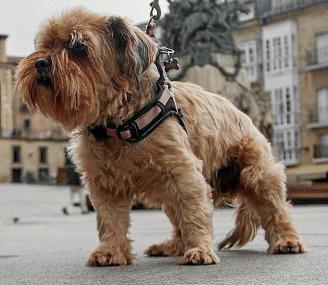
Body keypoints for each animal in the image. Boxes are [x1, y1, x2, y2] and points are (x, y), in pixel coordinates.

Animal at [15, 8, 304, 266]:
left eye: (77, 47)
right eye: (45, 45)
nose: (40, 62)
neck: (118, 123)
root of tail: (245, 115)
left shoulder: (184, 173)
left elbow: (194, 214)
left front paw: (200, 250)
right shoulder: (105, 185)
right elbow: (110, 220)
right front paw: (111, 251)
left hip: (258, 174)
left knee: (276, 209)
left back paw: (286, 241)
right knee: (177, 221)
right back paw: (172, 246)